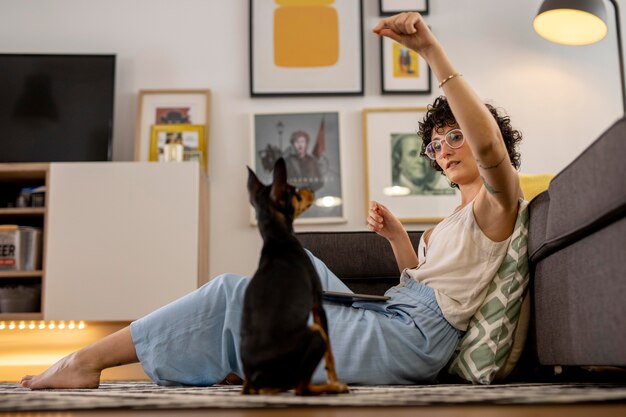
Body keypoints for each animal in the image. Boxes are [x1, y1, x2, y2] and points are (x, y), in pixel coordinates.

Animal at [240, 158, 348, 394]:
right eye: (296, 192)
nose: (311, 189)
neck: (277, 240)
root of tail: (258, 377)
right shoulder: (318, 305)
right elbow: (331, 356)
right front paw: (335, 380)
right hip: (315, 334)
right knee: (301, 388)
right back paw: (330, 388)